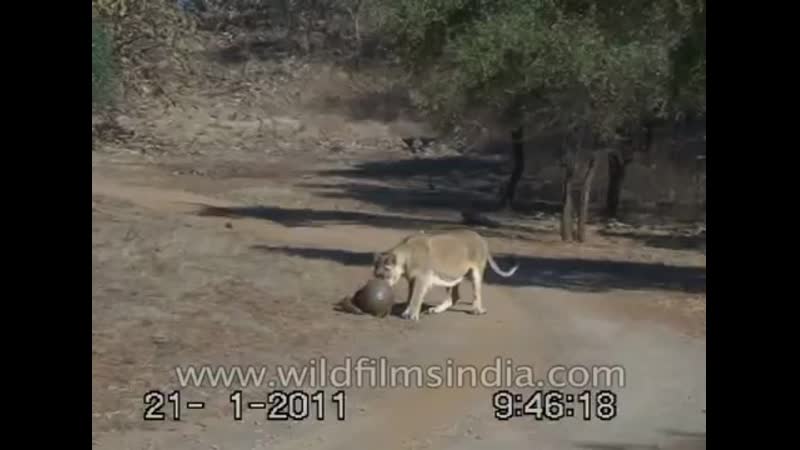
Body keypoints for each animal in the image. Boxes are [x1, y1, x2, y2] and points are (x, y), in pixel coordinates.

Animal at [372, 229, 519, 321]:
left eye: (384, 274)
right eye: (376, 274)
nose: (380, 285)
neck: (406, 256)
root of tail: (480, 236)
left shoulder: (422, 279)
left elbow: (416, 297)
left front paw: (412, 315)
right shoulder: (412, 280)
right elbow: (411, 297)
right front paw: (408, 311)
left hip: (476, 272)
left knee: (476, 294)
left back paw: (477, 310)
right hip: (451, 277)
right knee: (453, 298)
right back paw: (436, 309)